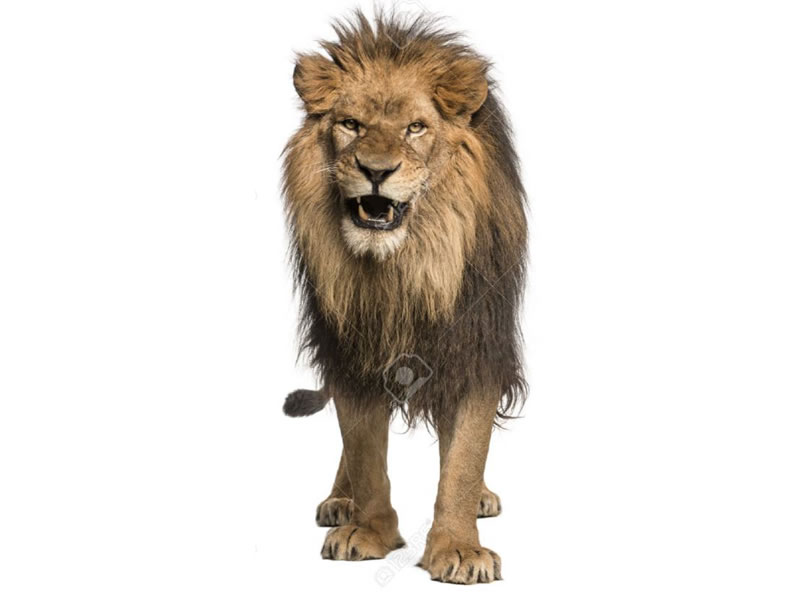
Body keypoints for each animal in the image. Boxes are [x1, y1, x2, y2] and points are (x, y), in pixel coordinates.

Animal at [281, 12, 527, 584]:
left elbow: (464, 455)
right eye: (350, 124)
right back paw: (340, 501)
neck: (404, 268)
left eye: (416, 127)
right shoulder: (350, 348)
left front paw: (459, 547)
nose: (376, 171)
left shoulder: (475, 348)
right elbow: (364, 449)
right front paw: (368, 532)